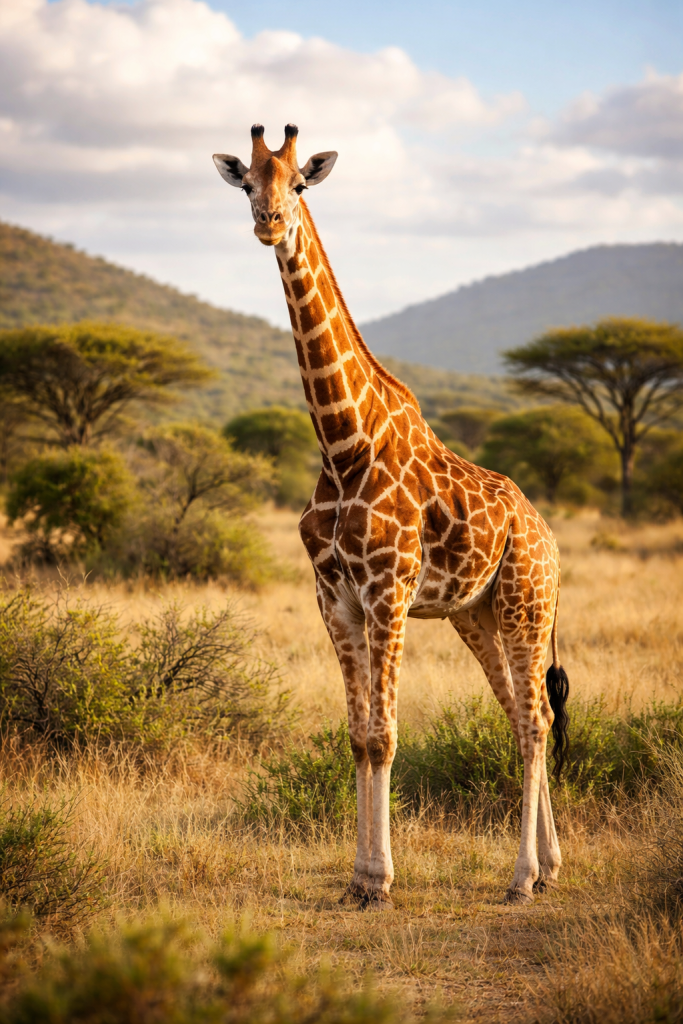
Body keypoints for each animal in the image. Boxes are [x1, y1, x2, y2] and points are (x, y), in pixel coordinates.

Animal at [213, 124, 570, 908]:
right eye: (247, 182)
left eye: (299, 184)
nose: (269, 224)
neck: (343, 442)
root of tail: (548, 537)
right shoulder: (335, 599)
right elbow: (358, 737)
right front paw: (357, 876)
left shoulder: (388, 594)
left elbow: (384, 735)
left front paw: (379, 879)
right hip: (477, 613)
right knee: (520, 716)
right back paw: (551, 864)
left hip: (525, 602)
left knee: (535, 720)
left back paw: (522, 877)